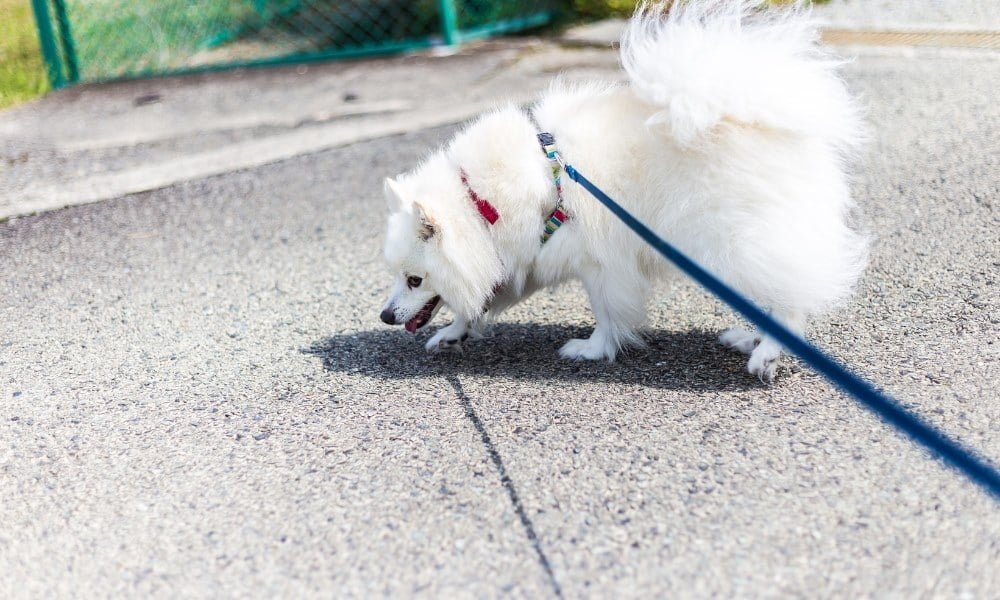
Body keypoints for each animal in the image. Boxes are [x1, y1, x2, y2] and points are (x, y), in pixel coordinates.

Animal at [378, 0, 864, 382]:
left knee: (788, 300)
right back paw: (751, 339)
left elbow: (607, 313)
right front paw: (452, 333)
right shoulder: (525, 256)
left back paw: (767, 353)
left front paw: (592, 350)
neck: (481, 204)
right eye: (397, 277)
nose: (384, 315)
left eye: (414, 279)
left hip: (732, 245)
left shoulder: (601, 261)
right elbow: (480, 300)